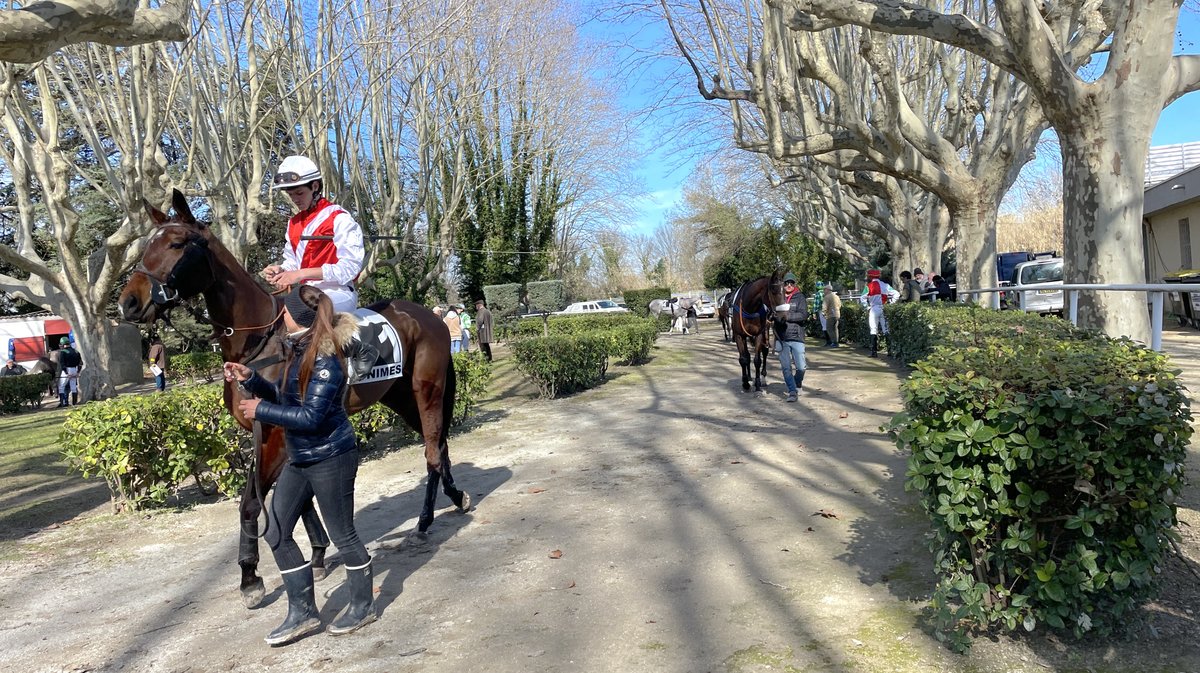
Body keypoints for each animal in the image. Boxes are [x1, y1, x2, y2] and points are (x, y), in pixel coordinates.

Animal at [117, 190, 470, 609]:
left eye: (175, 244)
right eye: (146, 246)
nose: (128, 302)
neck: (259, 343)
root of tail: (429, 316)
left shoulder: (273, 433)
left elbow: (253, 503)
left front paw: (250, 577)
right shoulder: (282, 434)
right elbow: (299, 501)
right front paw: (316, 556)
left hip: (426, 390)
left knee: (432, 450)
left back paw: (424, 521)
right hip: (399, 398)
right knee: (441, 444)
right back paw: (457, 496)